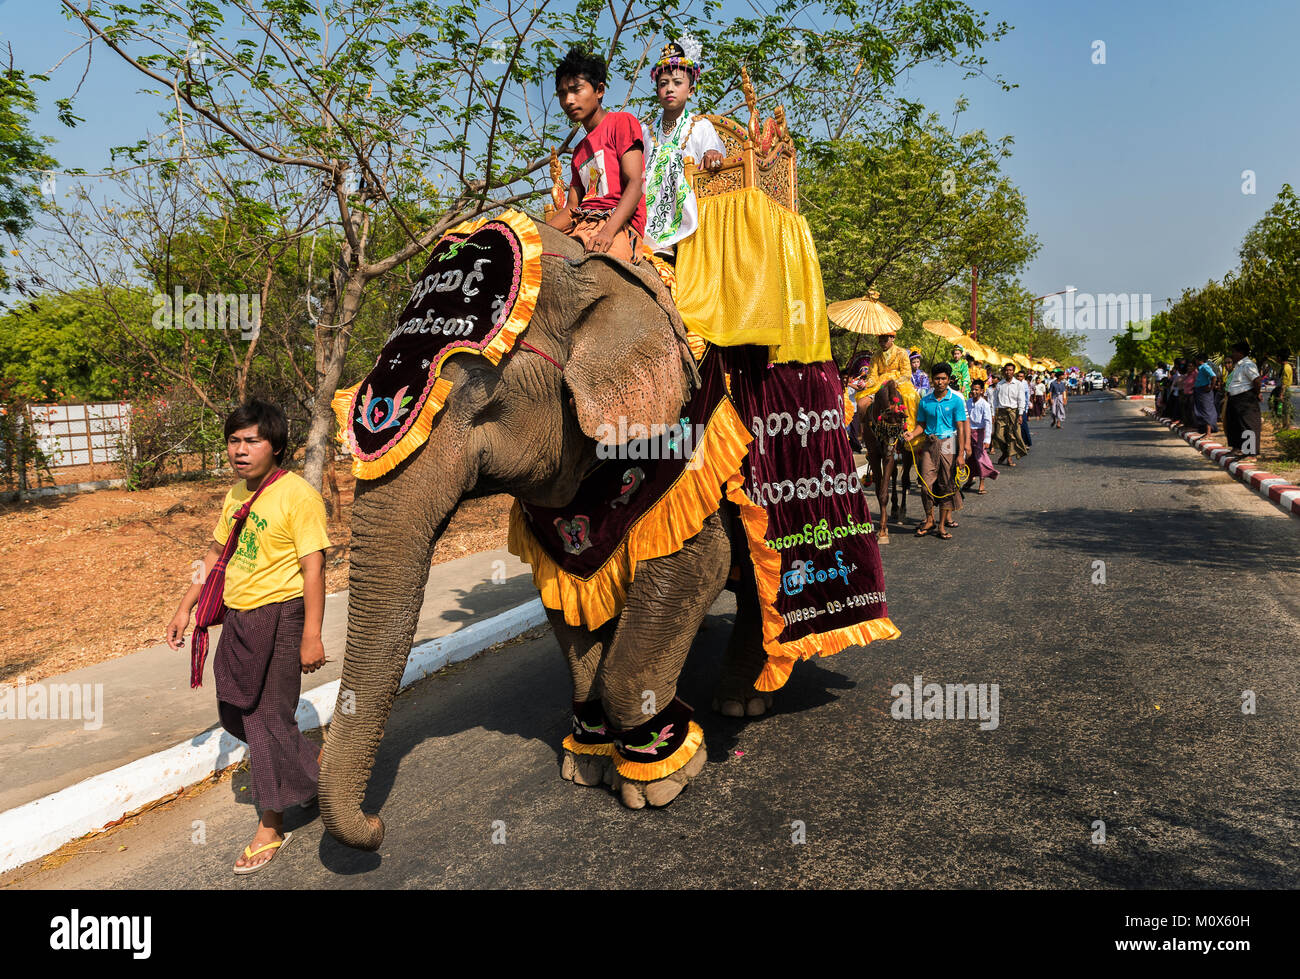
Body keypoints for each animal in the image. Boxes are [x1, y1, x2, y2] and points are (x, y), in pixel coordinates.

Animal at [318, 213, 774, 847]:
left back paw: (740, 705)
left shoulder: (684, 452)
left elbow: (696, 569)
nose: (377, 826)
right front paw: (586, 766)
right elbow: (568, 610)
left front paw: (658, 783)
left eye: (477, 400)